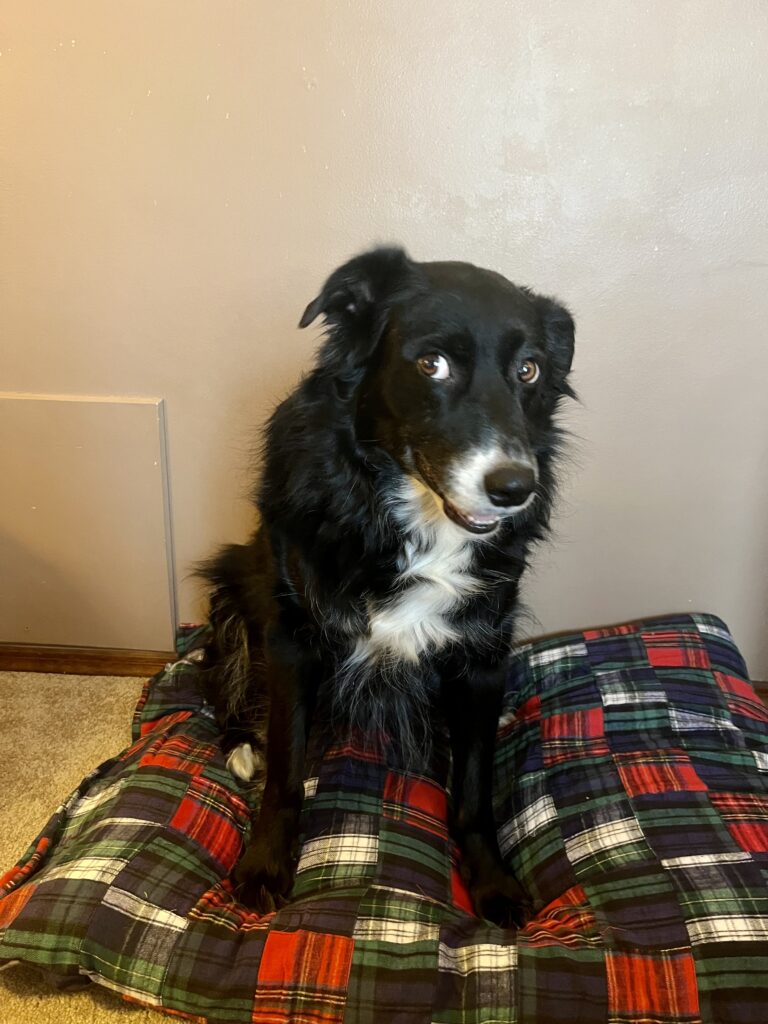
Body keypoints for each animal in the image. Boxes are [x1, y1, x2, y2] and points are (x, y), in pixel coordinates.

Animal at [201, 247, 573, 929]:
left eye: (529, 370)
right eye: (433, 364)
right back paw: (241, 747)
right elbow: (286, 767)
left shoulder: (483, 653)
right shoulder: (291, 638)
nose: (515, 488)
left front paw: (491, 880)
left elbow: (475, 786)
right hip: (229, 597)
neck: (407, 513)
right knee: (221, 689)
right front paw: (264, 864)